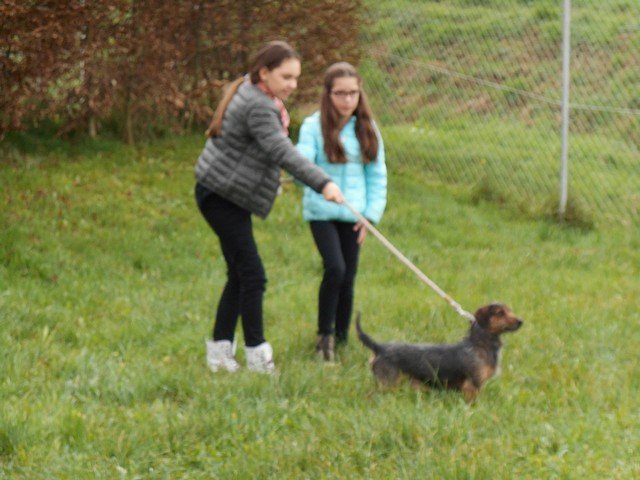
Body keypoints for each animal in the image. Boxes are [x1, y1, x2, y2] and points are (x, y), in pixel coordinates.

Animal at [356, 303, 523, 402]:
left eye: (510, 310)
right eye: (500, 313)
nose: (521, 321)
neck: (480, 344)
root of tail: (380, 347)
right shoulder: (473, 385)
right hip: (388, 384)